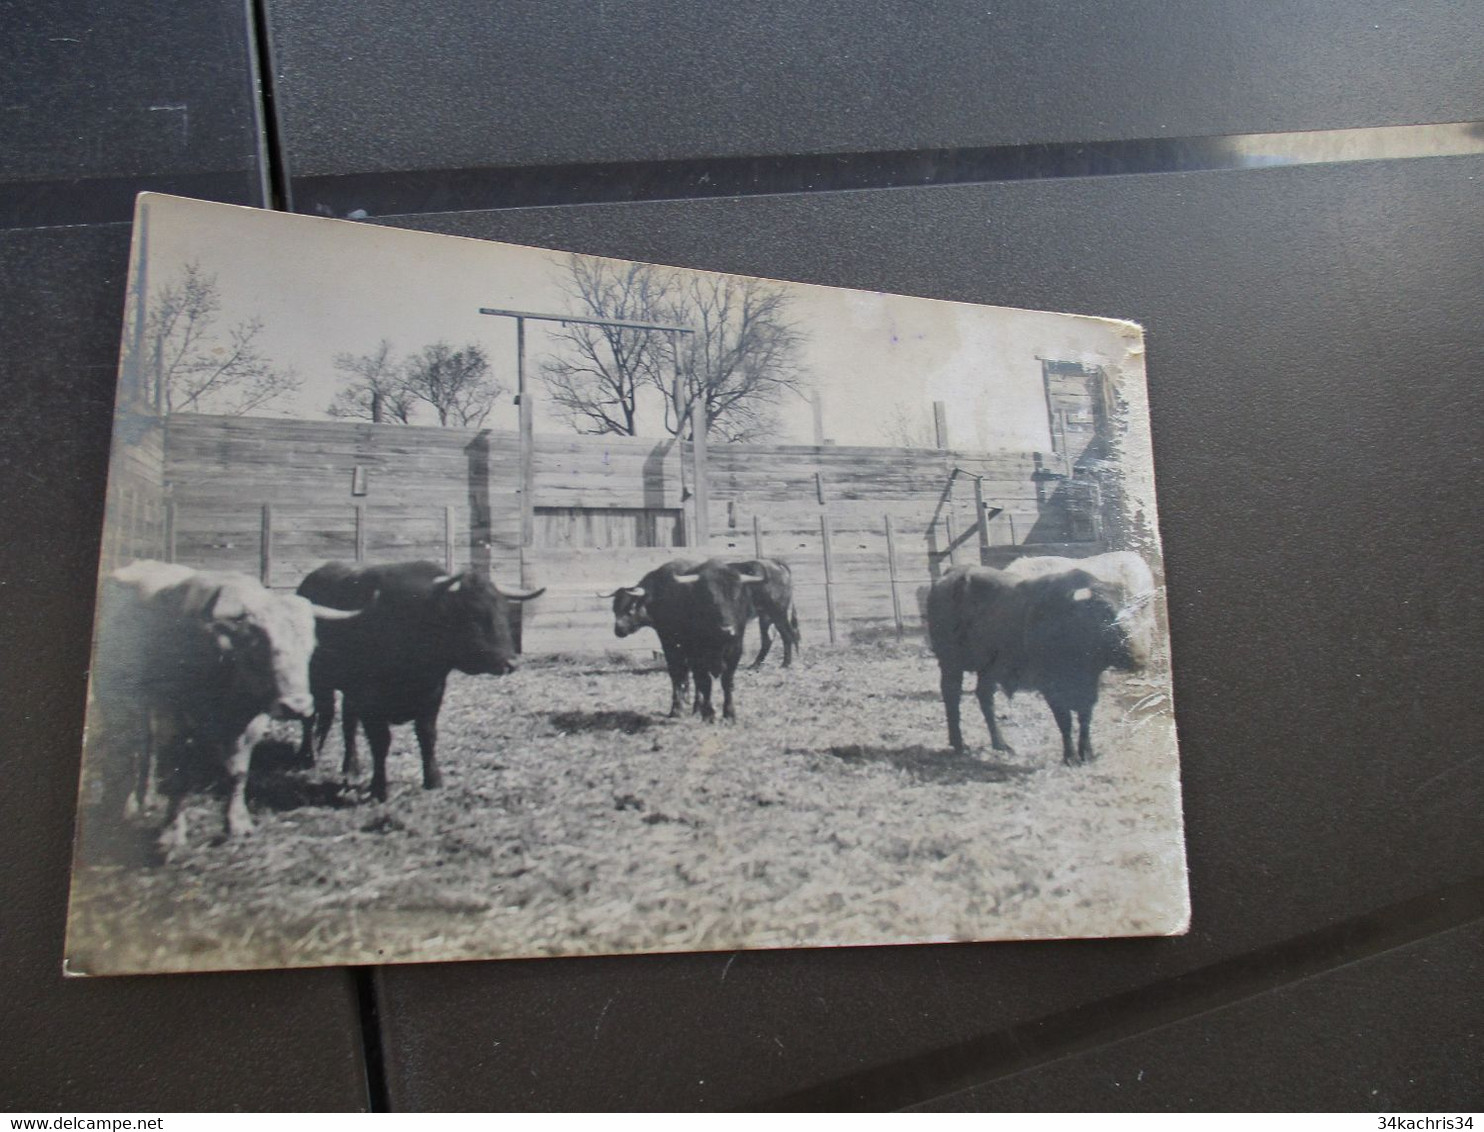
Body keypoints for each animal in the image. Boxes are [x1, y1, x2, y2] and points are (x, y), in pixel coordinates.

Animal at [295, 563, 546, 801]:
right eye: (474, 614)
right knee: (313, 718)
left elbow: (427, 735)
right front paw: (379, 788)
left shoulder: (432, 694)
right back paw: (307, 758)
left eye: (504, 610)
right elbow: (381, 742)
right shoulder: (370, 701)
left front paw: (433, 779)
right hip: (314, 681)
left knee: (347, 723)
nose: (511, 662)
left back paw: (351, 768)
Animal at [926, 563, 1145, 765]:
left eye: (1133, 613)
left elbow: (1085, 719)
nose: (1139, 657)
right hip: (950, 663)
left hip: (987, 669)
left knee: (984, 697)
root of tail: (952, 574)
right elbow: (1065, 721)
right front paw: (1070, 756)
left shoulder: (1090, 686)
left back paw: (1000, 744)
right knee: (952, 696)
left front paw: (1088, 753)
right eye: (1105, 613)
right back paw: (958, 743)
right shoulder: (1051, 687)